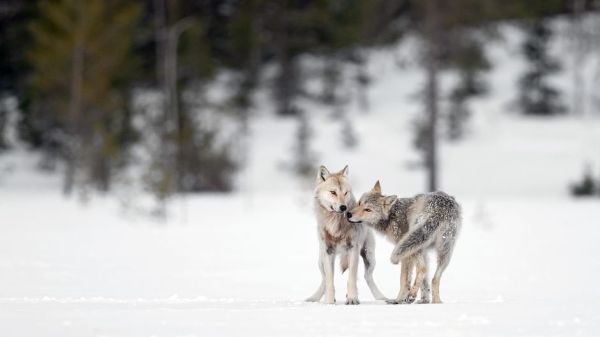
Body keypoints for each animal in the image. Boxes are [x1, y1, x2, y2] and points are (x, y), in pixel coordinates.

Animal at [304, 165, 390, 304]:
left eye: (345, 193)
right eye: (333, 192)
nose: (343, 207)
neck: (336, 224)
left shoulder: (353, 249)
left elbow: (351, 279)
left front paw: (352, 299)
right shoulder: (328, 251)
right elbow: (329, 281)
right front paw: (329, 302)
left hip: (369, 258)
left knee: (367, 277)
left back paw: (381, 298)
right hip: (321, 260)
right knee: (324, 279)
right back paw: (315, 297)